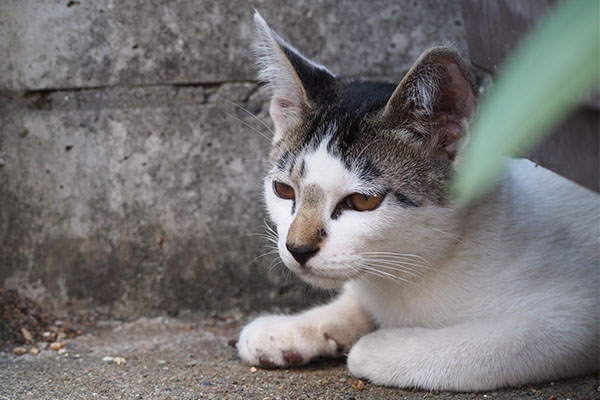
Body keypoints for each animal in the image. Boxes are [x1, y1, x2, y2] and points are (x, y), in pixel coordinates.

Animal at [238, 11, 600, 390]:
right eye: (284, 190)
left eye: (361, 201)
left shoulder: (577, 312)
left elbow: (485, 350)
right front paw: (289, 329)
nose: (297, 248)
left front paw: (379, 345)